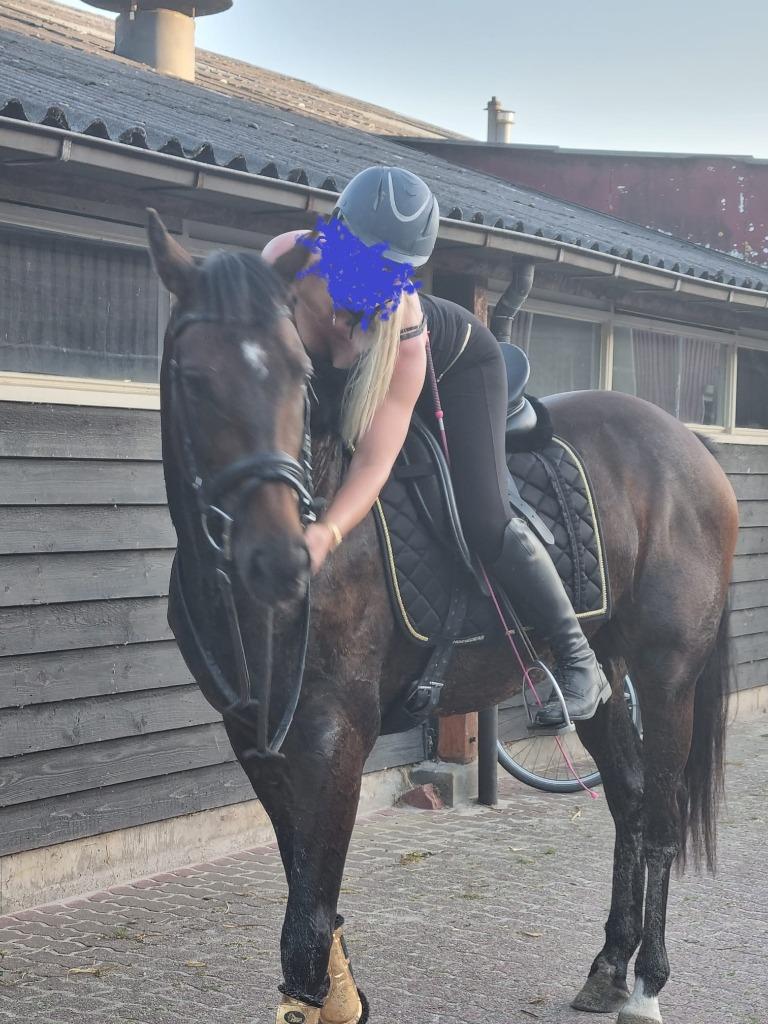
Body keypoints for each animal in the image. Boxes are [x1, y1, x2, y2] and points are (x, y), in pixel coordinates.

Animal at [147, 209, 739, 1024]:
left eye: (298, 376)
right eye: (194, 377)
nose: (279, 559)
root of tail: (690, 445)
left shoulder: (334, 736)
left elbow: (307, 918)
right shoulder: (257, 739)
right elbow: (306, 893)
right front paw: (343, 998)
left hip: (668, 674)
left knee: (660, 819)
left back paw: (646, 984)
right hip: (609, 671)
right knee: (628, 799)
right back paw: (609, 966)